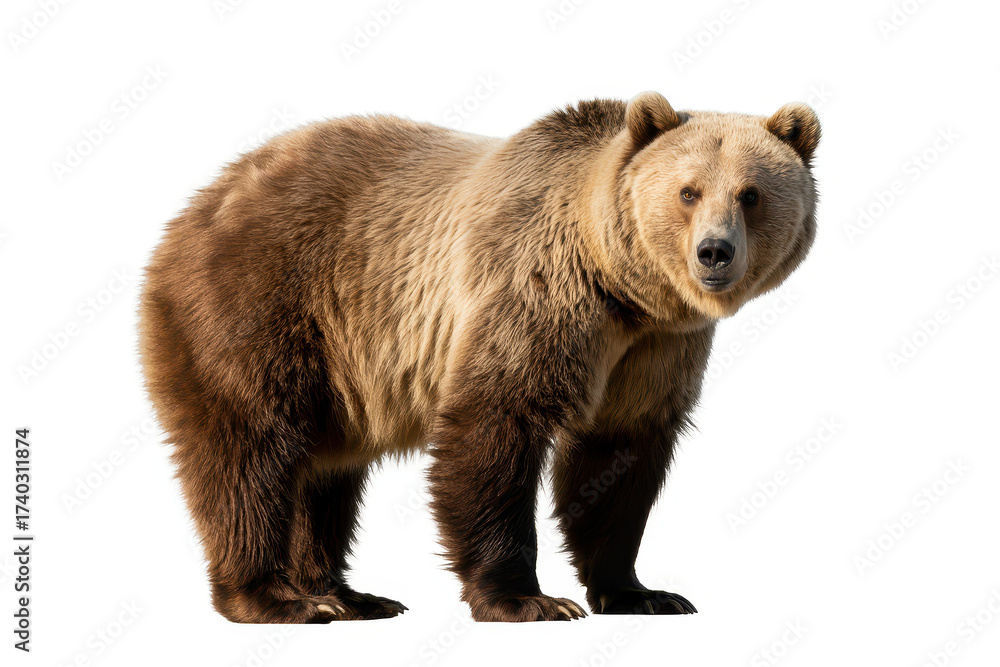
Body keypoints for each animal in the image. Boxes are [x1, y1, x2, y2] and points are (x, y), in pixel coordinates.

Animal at [138, 91, 819, 623]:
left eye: (750, 194)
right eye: (688, 191)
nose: (714, 251)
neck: (620, 287)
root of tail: (198, 202)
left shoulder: (654, 350)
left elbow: (618, 454)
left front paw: (642, 592)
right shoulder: (535, 291)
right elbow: (496, 422)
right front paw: (527, 599)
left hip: (340, 367)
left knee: (325, 471)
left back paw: (348, 595)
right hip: (263, 302)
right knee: (251, 448)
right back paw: (276, 598)